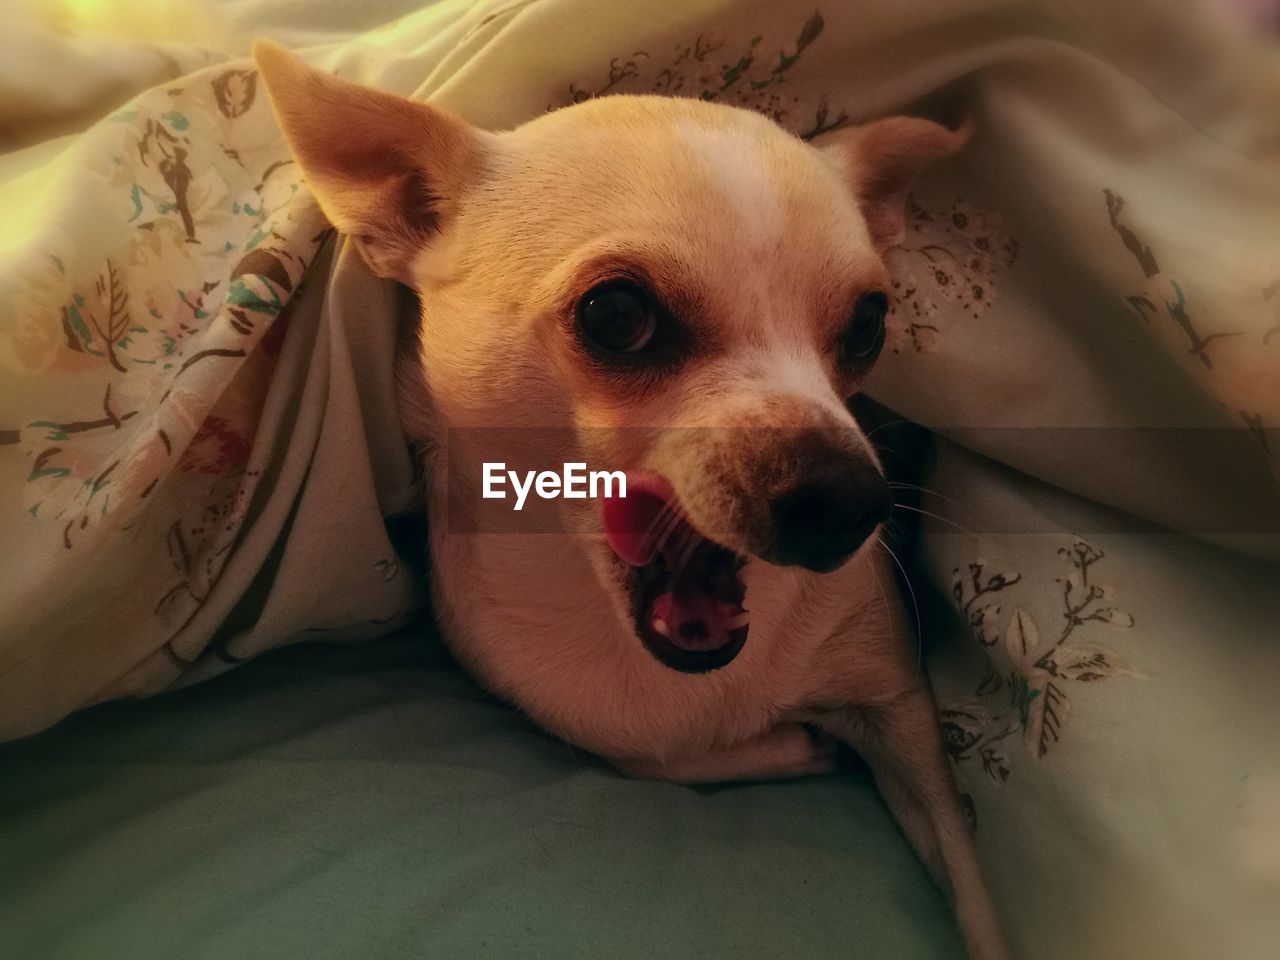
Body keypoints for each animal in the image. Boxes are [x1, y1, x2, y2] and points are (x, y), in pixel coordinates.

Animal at [252, 39, 1008, 960]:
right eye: (616, 315)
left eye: (868, 324)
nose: (848, 500)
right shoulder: (572, 714)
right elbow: (644, 752)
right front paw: (789, 745)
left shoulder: (903, 709)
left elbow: (975, 887)